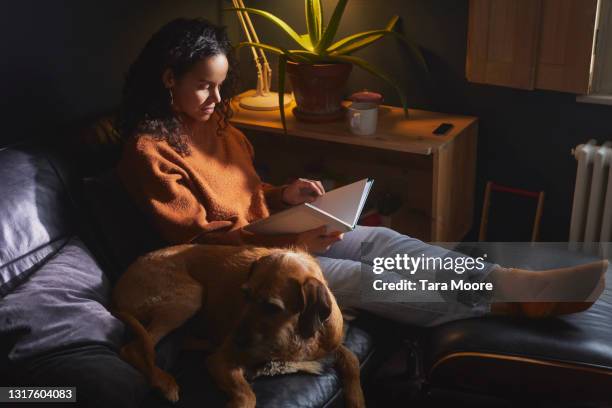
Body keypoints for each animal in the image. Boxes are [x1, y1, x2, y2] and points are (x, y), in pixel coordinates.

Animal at [110, 244, 364, 408]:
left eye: (272, 307)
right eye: (245, 294)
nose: (236, 340)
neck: (294, 334)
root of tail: (117, 289)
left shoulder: (332, 345)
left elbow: (352, 360)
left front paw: (356, 398)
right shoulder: (221, 360)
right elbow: (247, 396)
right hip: (190, 296)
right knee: (133, 348)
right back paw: (165, 382)